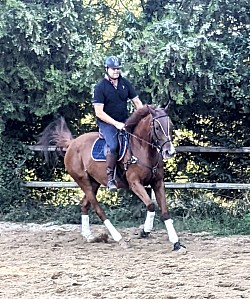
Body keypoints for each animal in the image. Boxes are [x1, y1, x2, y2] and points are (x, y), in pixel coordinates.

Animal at [37, 105, 186, 253]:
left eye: (171, 126)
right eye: (157, 127)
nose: (169, 152)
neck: (142, 149)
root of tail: (73, 143)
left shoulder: (158, 183)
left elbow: (165, 212)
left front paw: (176, 243)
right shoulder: (135, 184)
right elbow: (150, 205)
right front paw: (145, 231)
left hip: (94, 183)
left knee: (84, 205)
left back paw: (89, 236)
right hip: (83, 181)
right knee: (98, 209)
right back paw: (118, 238)